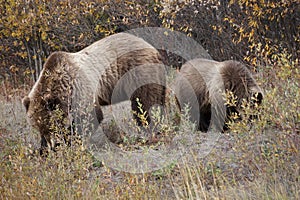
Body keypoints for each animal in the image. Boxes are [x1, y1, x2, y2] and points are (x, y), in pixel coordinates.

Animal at [22, 32, 165, 152]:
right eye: (37, 127)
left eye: (50, 125)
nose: (50, 144)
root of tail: (153, 49)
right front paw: (43, 149)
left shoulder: (79, 88)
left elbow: (89, 116)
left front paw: (67, 141)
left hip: (138, 72)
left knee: (143, 103)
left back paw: (147, 130)